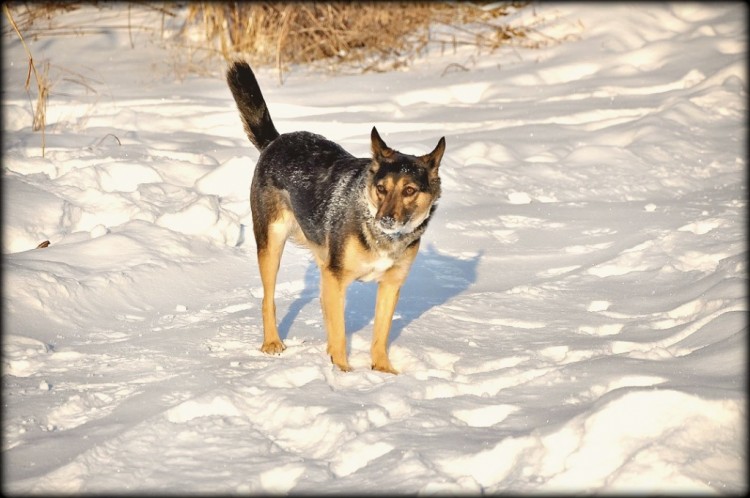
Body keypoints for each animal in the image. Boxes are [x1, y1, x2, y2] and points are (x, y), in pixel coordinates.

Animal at [226, 61, 444, 374]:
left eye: (410, 190)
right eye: (381, 188)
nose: (386, 220)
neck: (381, 235)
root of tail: (275, 141)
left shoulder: (390, 285)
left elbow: (380, 334)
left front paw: (383, 372)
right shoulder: (337, 277)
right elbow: (340, 332)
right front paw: (342, 374)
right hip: (272, 243)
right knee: (269, 299)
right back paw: (272, 343)